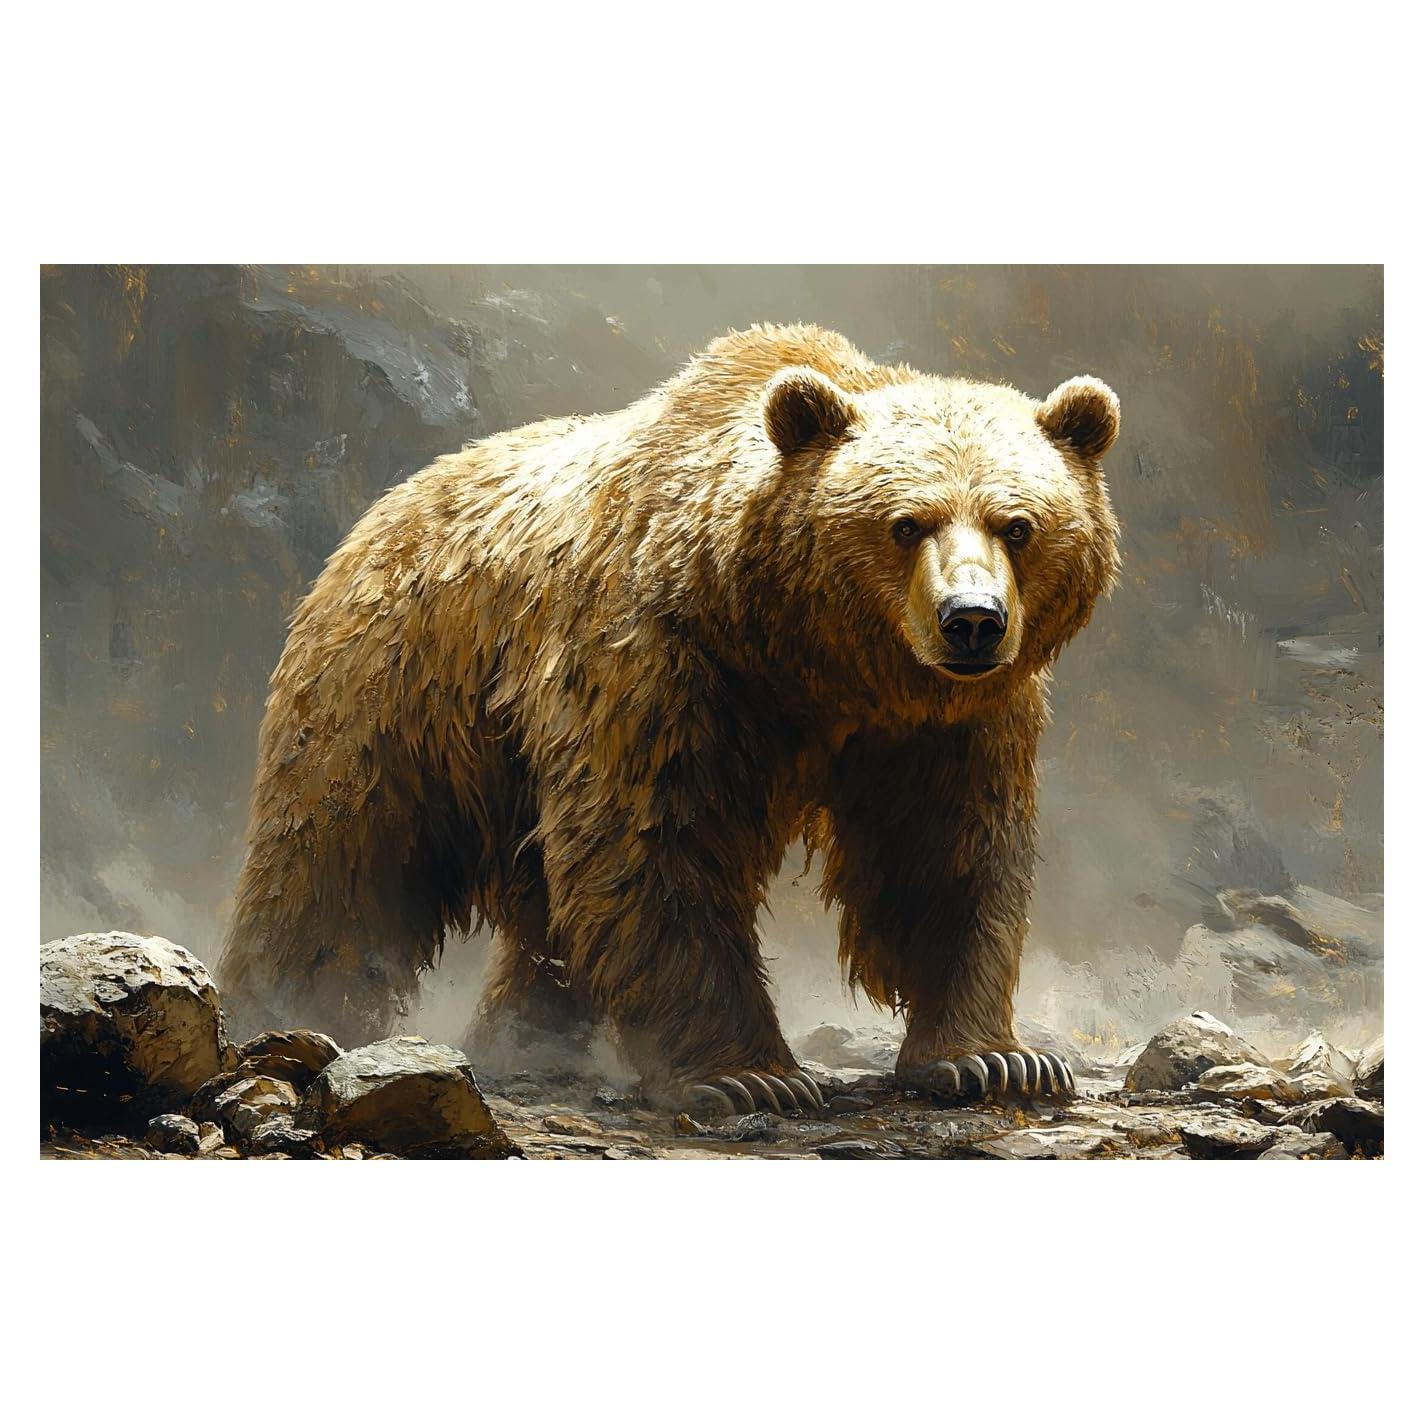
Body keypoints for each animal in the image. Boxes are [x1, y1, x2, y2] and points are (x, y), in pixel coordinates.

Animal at [219, 323, 1120, 1114]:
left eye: (1018, 525)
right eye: (906, 524)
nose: (972, 621)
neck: (808, 656)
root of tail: (384, 509)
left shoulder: (945, 725)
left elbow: (944, 854)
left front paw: (995, 1060)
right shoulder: (660, 665)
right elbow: (656, 844)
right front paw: (751, 1075)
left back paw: (527, 1035)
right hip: (397, 692)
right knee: (338, 861)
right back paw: (288, 1006)